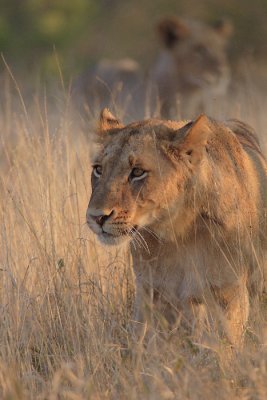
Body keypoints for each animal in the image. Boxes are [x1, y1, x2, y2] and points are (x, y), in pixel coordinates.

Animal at [87, 108, 267, 346]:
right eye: (98, 169)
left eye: (137, 172)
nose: (96, 217)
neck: (178, 234)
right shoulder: (154, 293)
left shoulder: (229, 294)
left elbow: (223, 346)